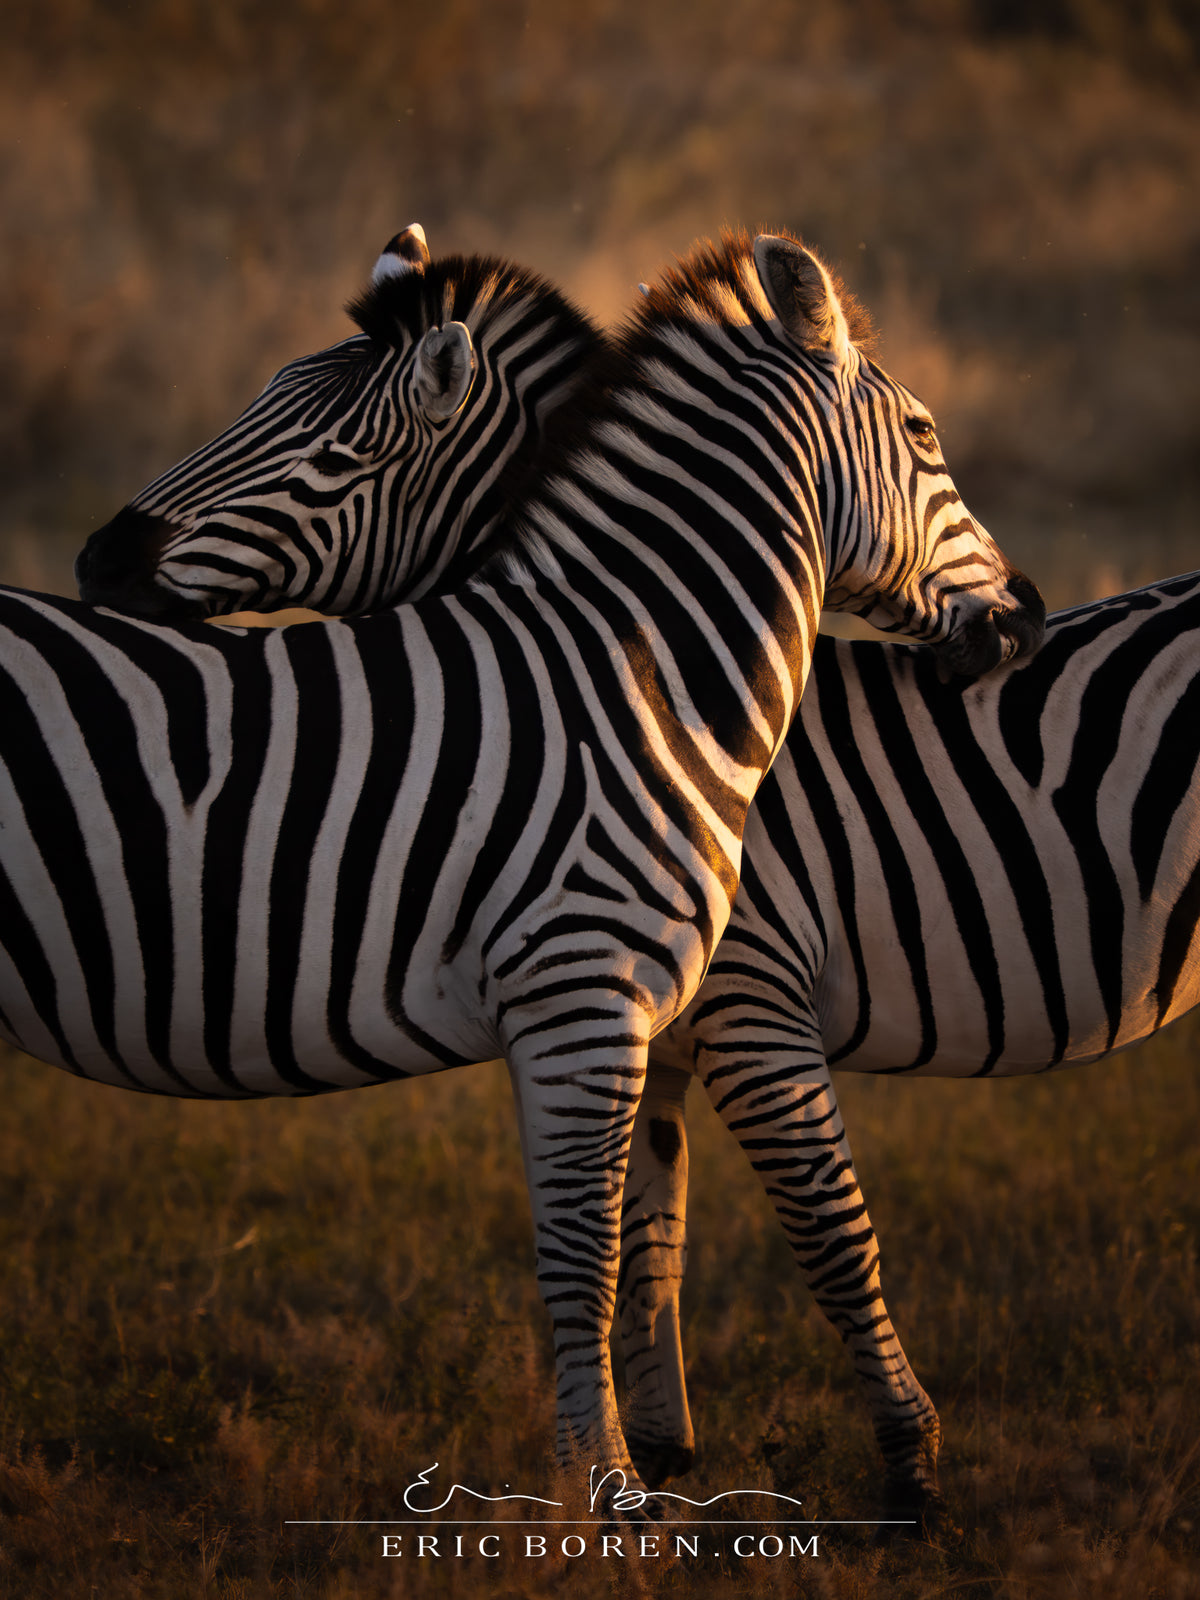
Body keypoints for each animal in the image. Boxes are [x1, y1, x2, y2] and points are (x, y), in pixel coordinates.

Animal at [55, 226, 1045, 1507]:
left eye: (329, 455)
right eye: (925, 435)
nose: (1023, 615)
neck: (637, 674)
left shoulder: (680, 1009)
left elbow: (699, 1221)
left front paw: (686, 1456)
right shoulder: (657, 1006)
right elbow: (689, 1228)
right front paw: (678, 1459)